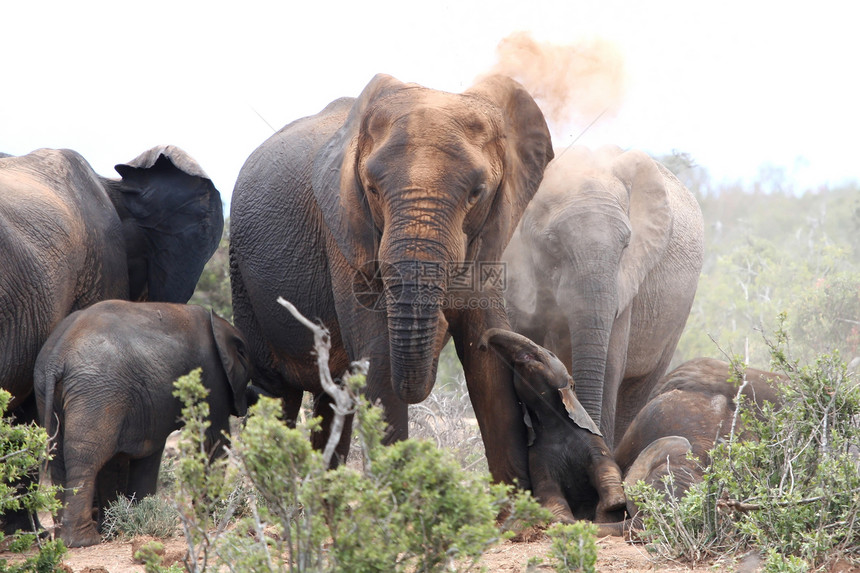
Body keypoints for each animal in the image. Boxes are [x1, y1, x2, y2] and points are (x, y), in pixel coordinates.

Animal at [35, 300, 254, 544]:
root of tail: (56, 358)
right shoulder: (211, 377)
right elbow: (213, 440)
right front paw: (206, 516)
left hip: (56, 391)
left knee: (59, 457)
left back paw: (65, 538)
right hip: (96, 390)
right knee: (86, 456)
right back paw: (84, 541)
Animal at [478, 326, 624, 524]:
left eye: (550, 354)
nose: (481, 345)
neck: (552, 421)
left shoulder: (592, 439)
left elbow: (604, 465)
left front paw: (614, 504)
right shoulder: (537, 458)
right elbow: (547, 489)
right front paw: (564, 520)